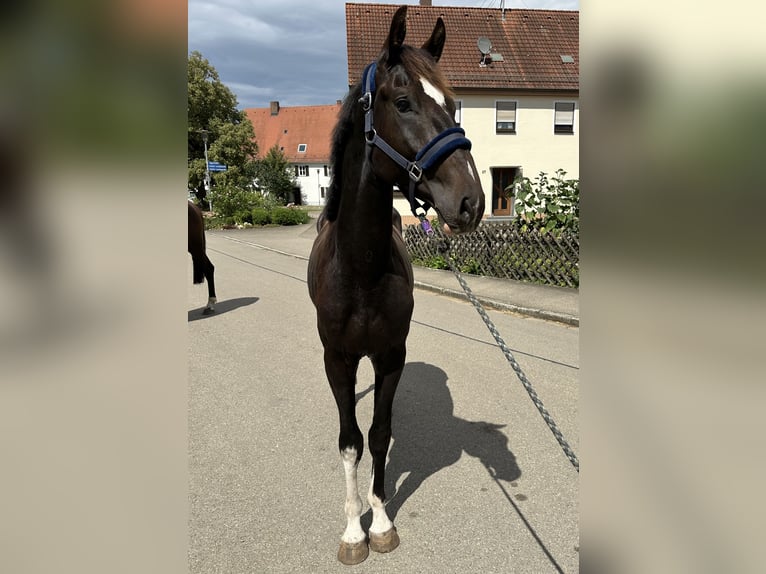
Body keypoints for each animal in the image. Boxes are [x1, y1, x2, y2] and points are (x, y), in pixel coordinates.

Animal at [308, 6, 484, 568]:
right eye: (403, 102)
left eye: (452, 103)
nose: (471, 201)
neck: (361, 269)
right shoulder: (339, 359)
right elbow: (350, 440)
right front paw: (353, 531)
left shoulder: (390, 356)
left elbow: (380, 435)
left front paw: (381, 521)